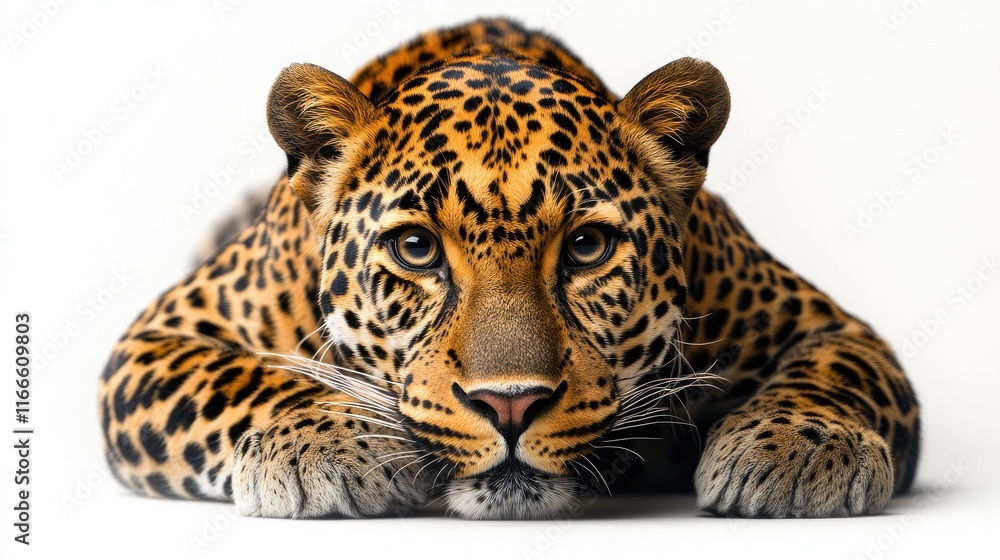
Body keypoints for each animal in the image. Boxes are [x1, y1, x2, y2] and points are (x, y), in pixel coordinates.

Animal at [98, 18, 919, 520]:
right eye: (416, 249)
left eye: (587, 247)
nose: (511, 406)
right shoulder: (159, 338)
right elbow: (246, 378)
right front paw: (326, 439)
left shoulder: (820, 323)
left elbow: (836, 370)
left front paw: (801, 448)